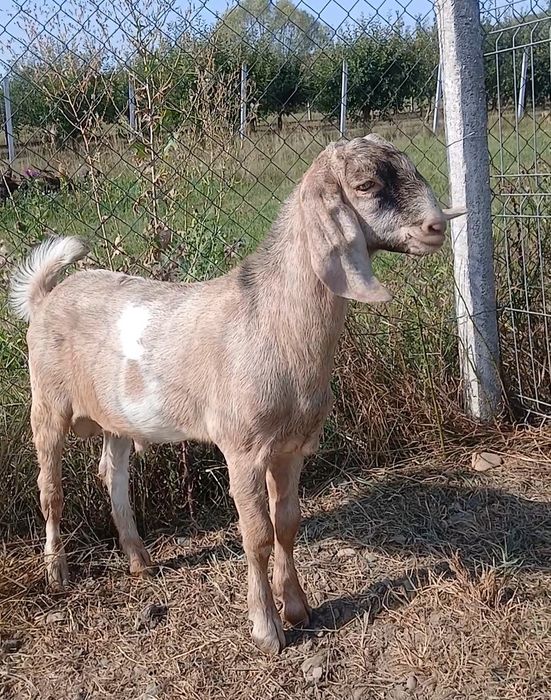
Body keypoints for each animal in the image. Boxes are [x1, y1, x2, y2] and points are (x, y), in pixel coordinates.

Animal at [10, 134, 465, 654]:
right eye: (366, 185)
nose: (435, 226)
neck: (271, 319)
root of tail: (46, 296)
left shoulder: (292, 447)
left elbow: (288, 523)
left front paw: (298, 608)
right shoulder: (243, 449)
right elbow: (258, 535)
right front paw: (267, 629)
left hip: (117, 417)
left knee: (113, 474)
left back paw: (141, 561)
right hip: (47, 403)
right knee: (51, 490)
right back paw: (58, 573)